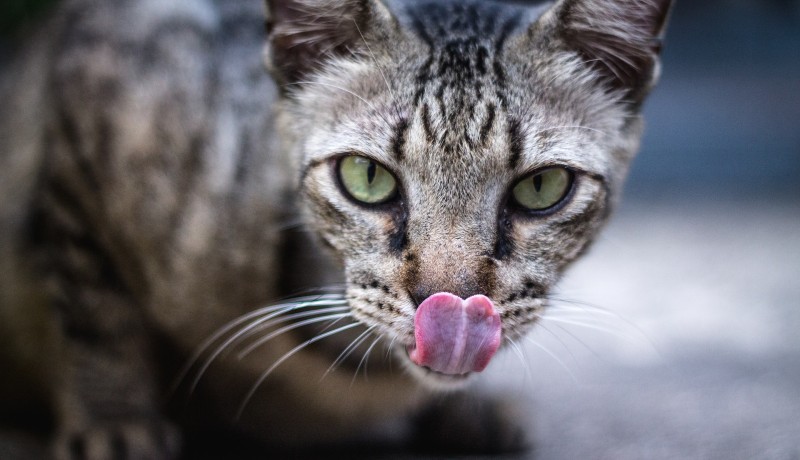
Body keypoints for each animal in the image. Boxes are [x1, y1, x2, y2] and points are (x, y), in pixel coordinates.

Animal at [0, 0, 672, 456]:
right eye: (365, 176)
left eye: (542, 188)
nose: (451, 304)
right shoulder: (89, 106)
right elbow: (95, 315)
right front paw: (115, 421)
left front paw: (469, 412)